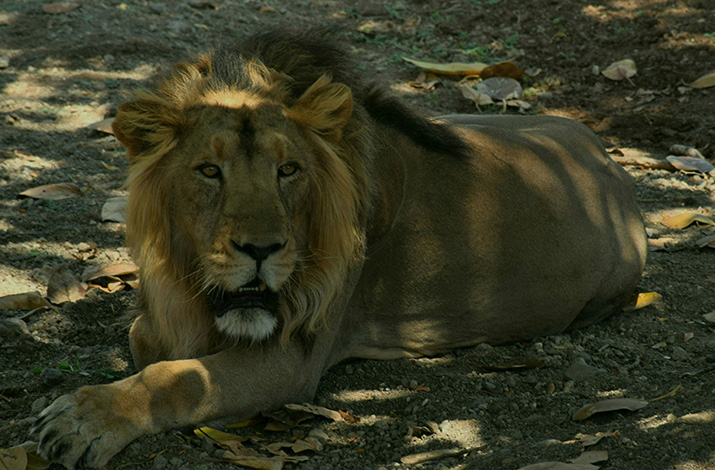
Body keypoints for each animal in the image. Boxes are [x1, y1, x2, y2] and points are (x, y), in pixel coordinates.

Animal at [29, 30, 648, 470]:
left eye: (288, 170)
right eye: (209, 170)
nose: (261, 249)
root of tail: (607, 156)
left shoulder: (291, 358)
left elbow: (178, 376)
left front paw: (83, 419)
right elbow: (150, 343)